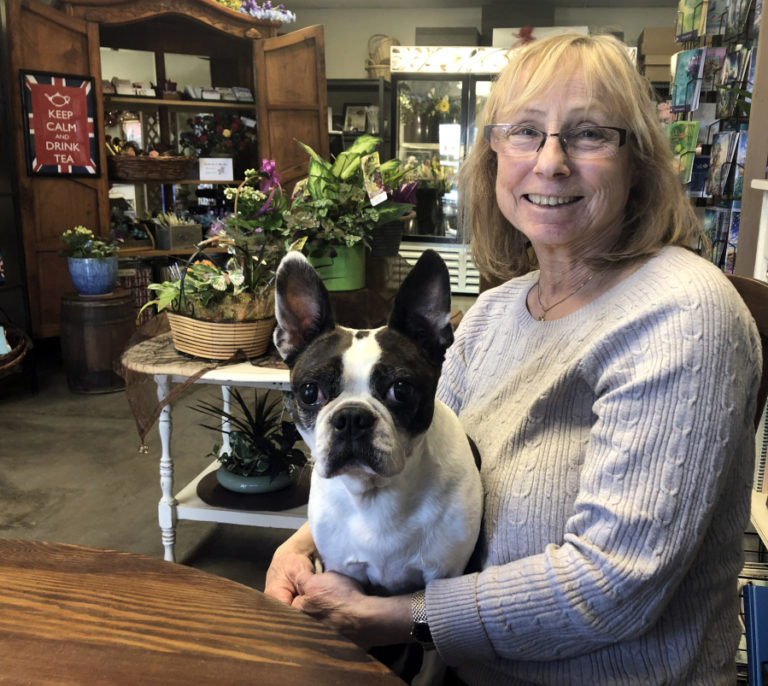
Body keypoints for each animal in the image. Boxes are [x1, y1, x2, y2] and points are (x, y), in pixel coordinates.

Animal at [272, 249, 484, 596]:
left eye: (401, 389)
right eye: (309, 392)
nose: (351, 417)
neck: (374, 493)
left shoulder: (444, 574)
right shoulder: (343, 570)